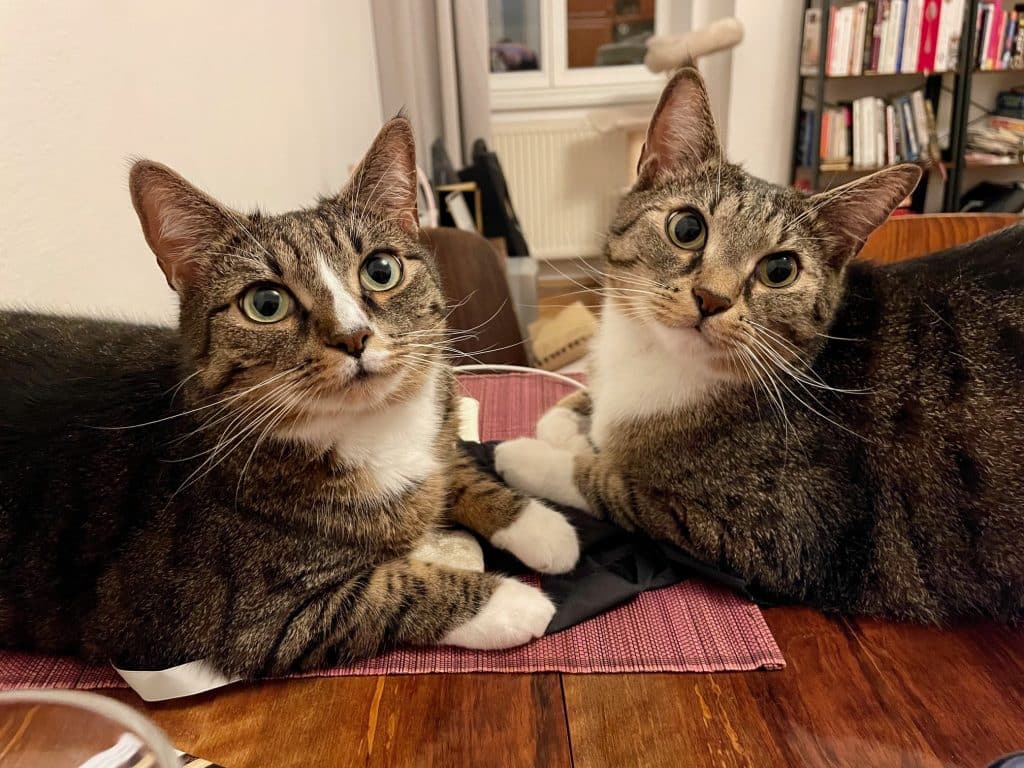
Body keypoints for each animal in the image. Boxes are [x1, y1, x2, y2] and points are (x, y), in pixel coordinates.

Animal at [0, 117, 581, 675]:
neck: (370, 427)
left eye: (381, 270)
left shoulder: (436, 442)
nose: (353, 336)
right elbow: (386, 591)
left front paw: (544, 527)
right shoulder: (239, 615)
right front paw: (512, 603)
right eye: (265, 303)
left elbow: (455, 466)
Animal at [495, 69, 1024, 622]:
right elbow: (577, 405)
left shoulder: (769, 533)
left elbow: (615, 484)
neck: (659, 360)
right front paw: (569, 429)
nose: (712, 298)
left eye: (780, 270)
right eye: (687, 227)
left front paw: (528, 455)